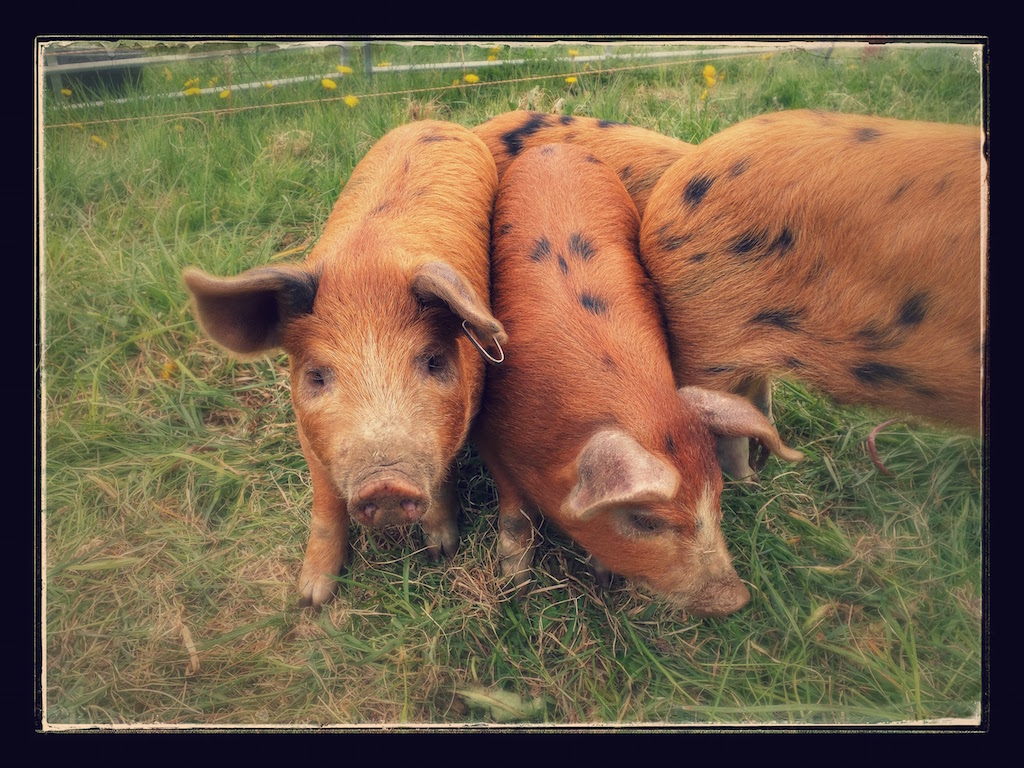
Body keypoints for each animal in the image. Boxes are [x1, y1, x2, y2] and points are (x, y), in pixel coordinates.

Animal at [183, 120, 507, 608]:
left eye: (433, 361)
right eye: (317, 375)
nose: (386, 484)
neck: (366, 265)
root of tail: (431, 122)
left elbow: (444, 477)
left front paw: (441, 553)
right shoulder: (309, 436)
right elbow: (326, 507)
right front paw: (312, 598)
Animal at [474, 143, 803, 618]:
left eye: (717, 495)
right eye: (646, 520)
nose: (735, 599)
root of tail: (555, 147)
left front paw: (602, 577)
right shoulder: (488, 427)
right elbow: (515, 510)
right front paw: (515, 586)